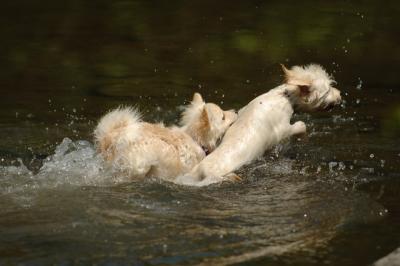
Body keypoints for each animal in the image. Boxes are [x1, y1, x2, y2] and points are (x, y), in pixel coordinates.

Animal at [180, 64, 342, 185]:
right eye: (328, 90)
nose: (340, 94)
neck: (285, 98)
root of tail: (202, 170)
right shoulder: (282, 130)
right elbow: (301, 125)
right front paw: (303, 138)